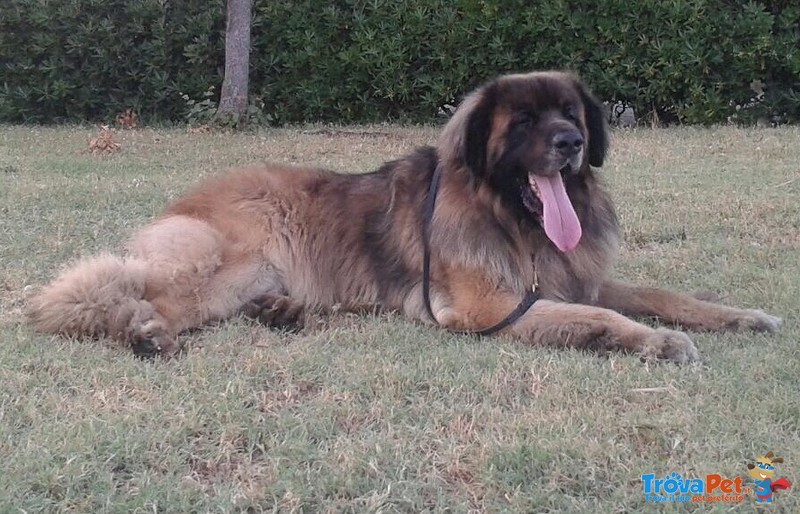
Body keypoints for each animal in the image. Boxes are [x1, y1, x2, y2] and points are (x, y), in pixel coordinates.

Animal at [26, 71, 780, 360]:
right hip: (224, 263)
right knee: (121, 297)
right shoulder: (488, 307)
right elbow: (599, 316)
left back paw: (283, 314)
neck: (510, 217)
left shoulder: (575, 276)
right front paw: (656, 342)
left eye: (570, 112)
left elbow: (663, 293)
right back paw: (145, 330)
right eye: (526, 121)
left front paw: (739, 317)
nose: (569, 142)